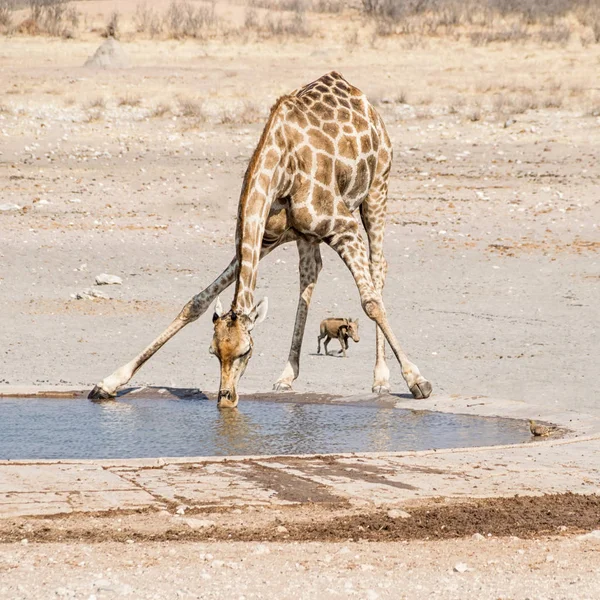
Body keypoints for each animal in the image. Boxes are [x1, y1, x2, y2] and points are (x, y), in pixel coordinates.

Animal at [89, 70, 432, 408]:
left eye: (247, 351)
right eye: (214, 352)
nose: (226, 400)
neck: (282, 168)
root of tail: (360, 97)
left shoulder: (344, 228)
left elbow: (370, 301)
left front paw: (417, 381)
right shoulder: (264, 240)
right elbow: (196, 303)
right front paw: (108, 382)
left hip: (377, 189)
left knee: (378, 267)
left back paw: (381, 378)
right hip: (306, 236)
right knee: (310, 275)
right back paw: (286, 375)